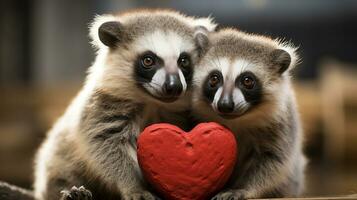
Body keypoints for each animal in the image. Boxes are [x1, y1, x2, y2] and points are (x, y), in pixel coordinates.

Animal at [33, 9, 216, 200]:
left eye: (183, 61)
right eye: (148, 61)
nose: (174, 87)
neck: (151, 101)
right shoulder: (102, 107)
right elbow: (105, 146)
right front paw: (133, 185)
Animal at [191, 28, 304, 200]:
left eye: (247, 81)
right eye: (214, 79)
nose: (225, 105)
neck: (237, 121)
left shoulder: (282, 125)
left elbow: (273, 160)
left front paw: (242, 188)